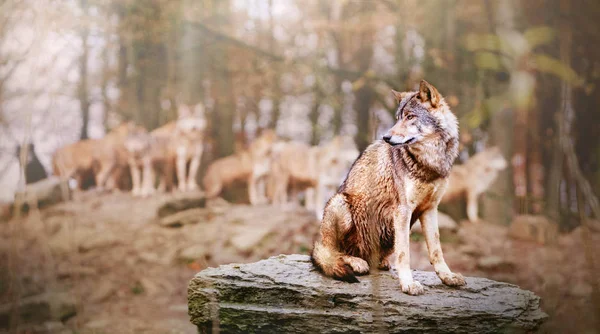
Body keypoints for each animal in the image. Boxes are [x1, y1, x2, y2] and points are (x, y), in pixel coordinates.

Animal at [312, 80, 466, 294]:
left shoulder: (430, 209)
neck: (429, 163)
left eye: (410, 117)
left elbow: (436, 250)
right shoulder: (403, 210)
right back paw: (357, 262)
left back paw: (380, 263)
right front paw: (408, 284)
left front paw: (447, 277)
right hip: (340, 203)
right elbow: (404, 254)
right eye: (397, 118)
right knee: (332, 253)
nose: (386, 137)